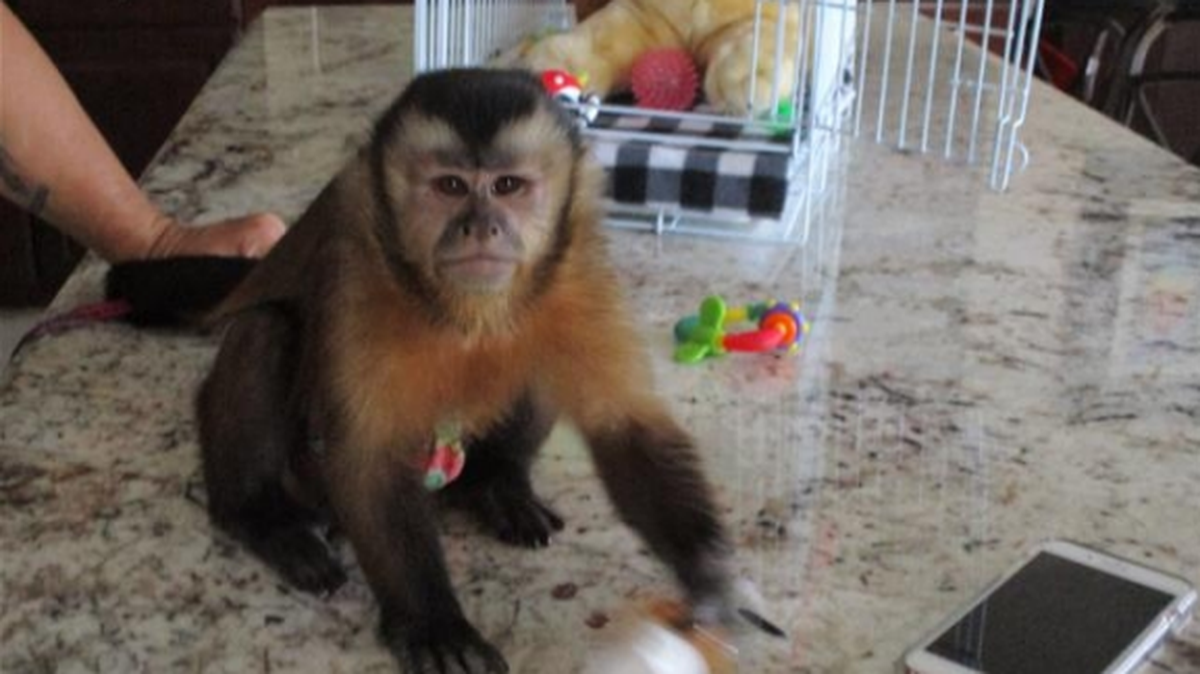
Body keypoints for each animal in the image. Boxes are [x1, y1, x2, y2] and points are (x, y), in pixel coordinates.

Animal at [108, 68, 735, 673]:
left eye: (507, 186)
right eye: (450, 187)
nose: (481, 227)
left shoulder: (576, 270)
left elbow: (623, 424)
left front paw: (707, 575)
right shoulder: (358, 271)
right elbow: (368, 457)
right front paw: (434, 624)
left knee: (535, 361)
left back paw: (496, 483)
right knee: (264, 331)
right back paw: (261, 516)